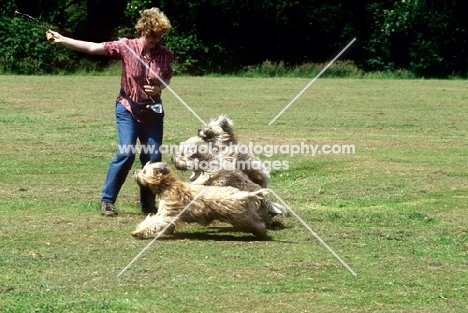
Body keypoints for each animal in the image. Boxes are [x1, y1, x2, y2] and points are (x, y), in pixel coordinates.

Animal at [133, 161, 268, 239]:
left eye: (144, 171)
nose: (135, 171)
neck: (168, 186)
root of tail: (243, 194)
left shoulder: (167, 213)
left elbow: (153, 222)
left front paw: (138, 231)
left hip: (240, 218)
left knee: (257, 225)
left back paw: (262, 233)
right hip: (244, 215)